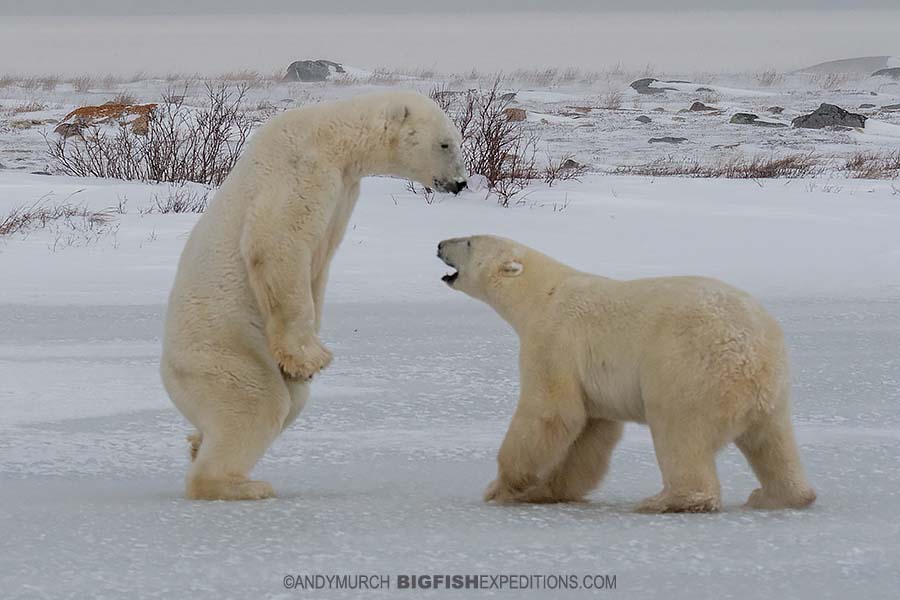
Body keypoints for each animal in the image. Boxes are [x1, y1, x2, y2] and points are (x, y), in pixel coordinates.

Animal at [162, 90, 468, 502]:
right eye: (445, 143)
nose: (460, 183)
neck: (332, 134)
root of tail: (170, 376)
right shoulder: (301, 171)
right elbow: (278, 245)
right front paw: (311, 357)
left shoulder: (345, 191)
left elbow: (317, 269)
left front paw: (305, 354)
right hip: (224, 353)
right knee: (257, 402)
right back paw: (238, 483)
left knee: (289, 402)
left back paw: (198, 441)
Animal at [436, 234, 816, 510]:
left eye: (469, 242)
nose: (439, 244)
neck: (543, 294)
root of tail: (755, 355)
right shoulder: (592, 380)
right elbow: (590, 432)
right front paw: (546, 490)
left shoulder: (553, 342)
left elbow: (551, 412)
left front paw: (500, 487)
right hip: (772, 393)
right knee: (773, 443)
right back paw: (776, 496)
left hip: (688, 370)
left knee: (678, 431)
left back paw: (664, 500)